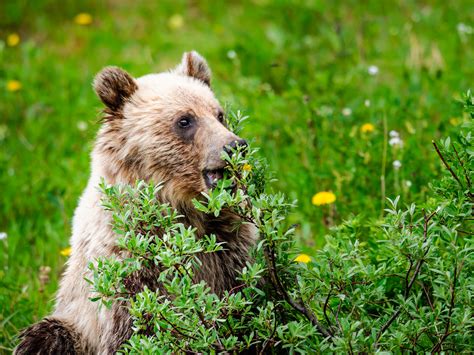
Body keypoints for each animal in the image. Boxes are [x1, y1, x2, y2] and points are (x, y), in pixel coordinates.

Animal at [15, 51, 256, 354]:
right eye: (185, 120)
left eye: (219, 114)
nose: (235, 146)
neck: (182, 207)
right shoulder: (128, 259)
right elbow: (136, 324)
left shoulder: (228, 245)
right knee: (46, 336)